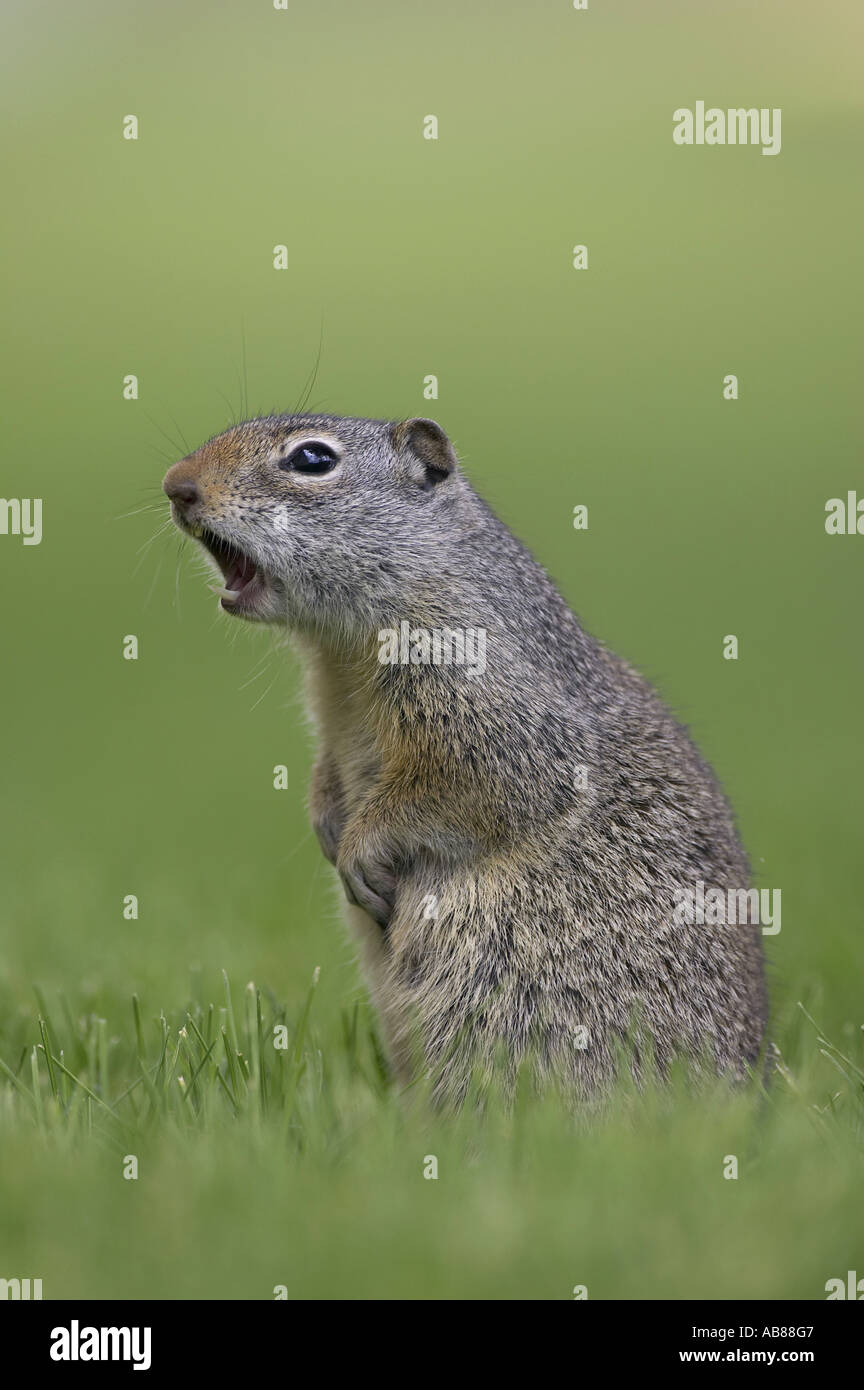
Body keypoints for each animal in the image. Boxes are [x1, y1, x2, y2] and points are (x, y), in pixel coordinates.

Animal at [163, 411, 772, 1106]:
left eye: (312, 459)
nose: (176, 485)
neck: (342, 655)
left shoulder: (473, 682)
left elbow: (474, 780)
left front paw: (360, 848)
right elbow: (326, 769)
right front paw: (324, 819)